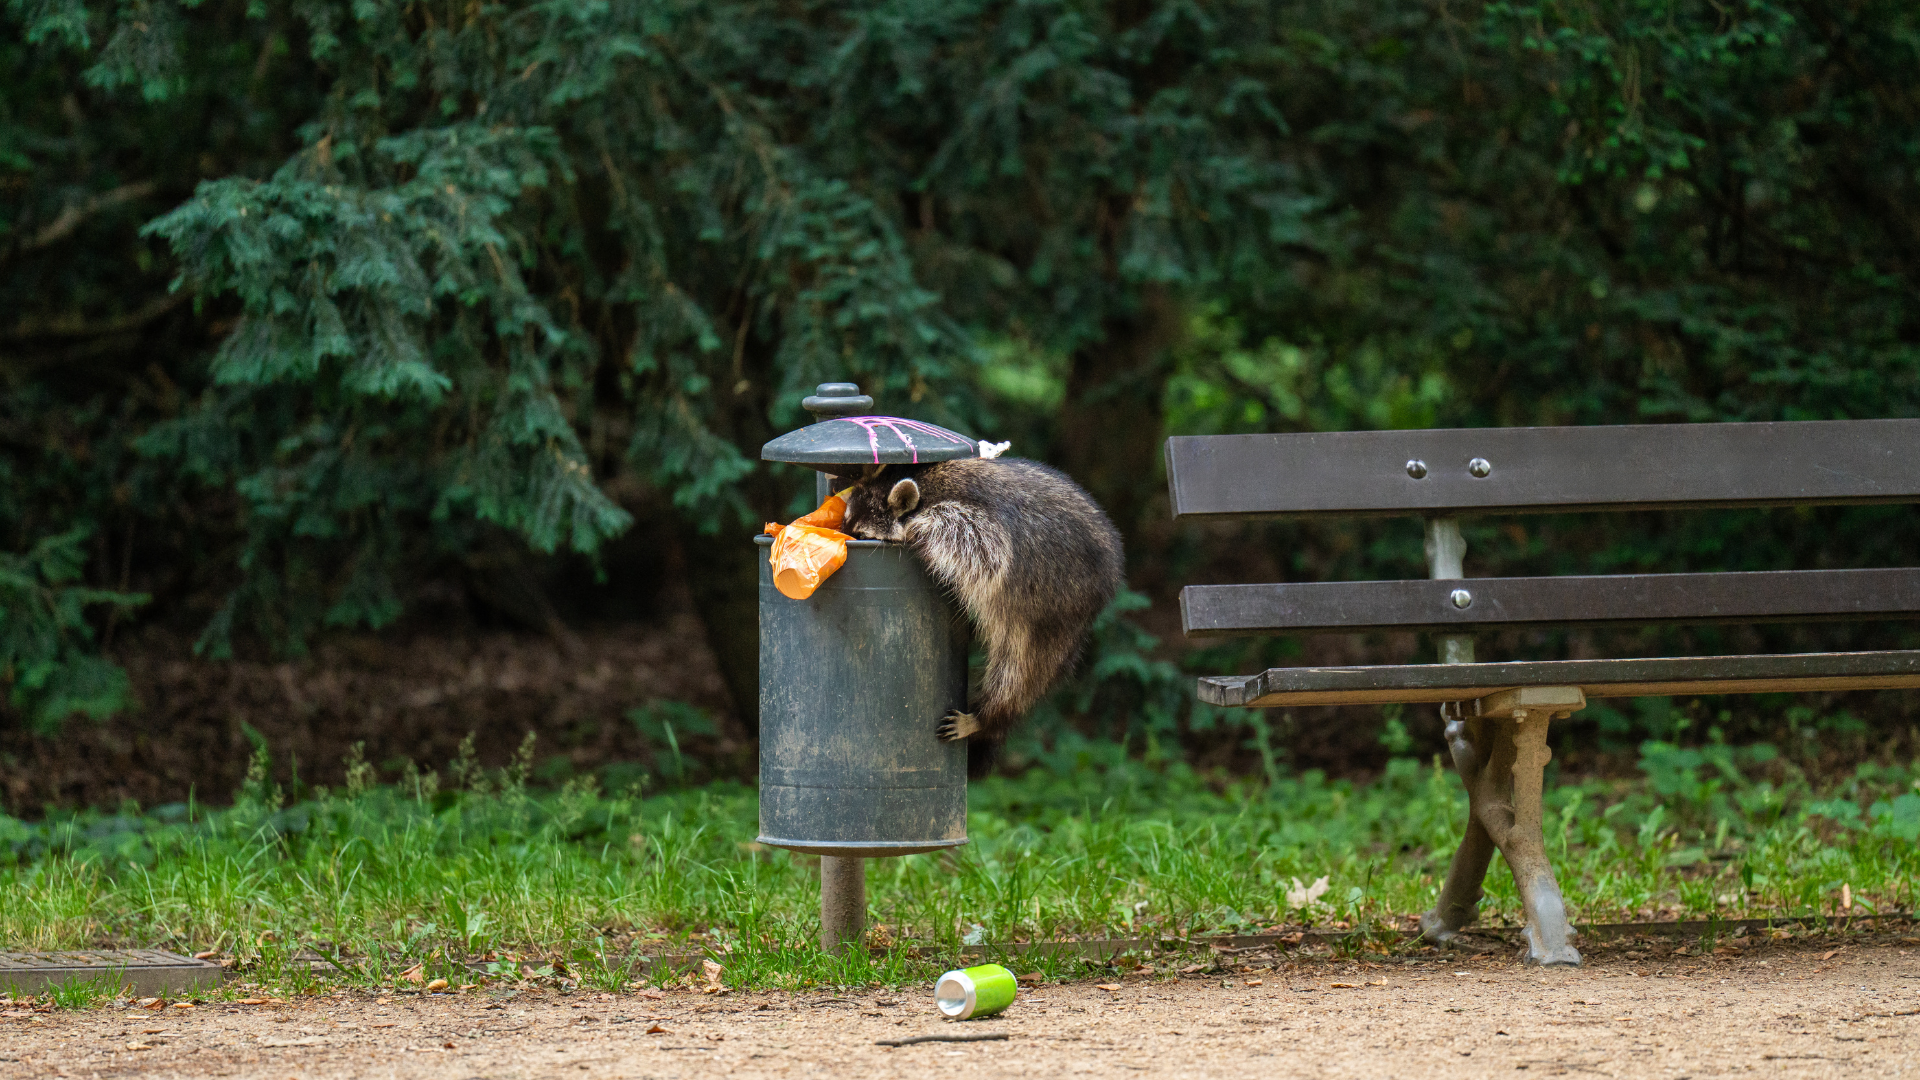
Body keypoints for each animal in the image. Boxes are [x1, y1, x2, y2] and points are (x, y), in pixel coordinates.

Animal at [839, 457, 1124, 777]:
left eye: (862, 535)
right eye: (844, 522)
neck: (922, 482)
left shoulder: (978, 521)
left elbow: (983, 547)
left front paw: (916, 530)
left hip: (1052, 612)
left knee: (1019, 672)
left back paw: (988, 717)